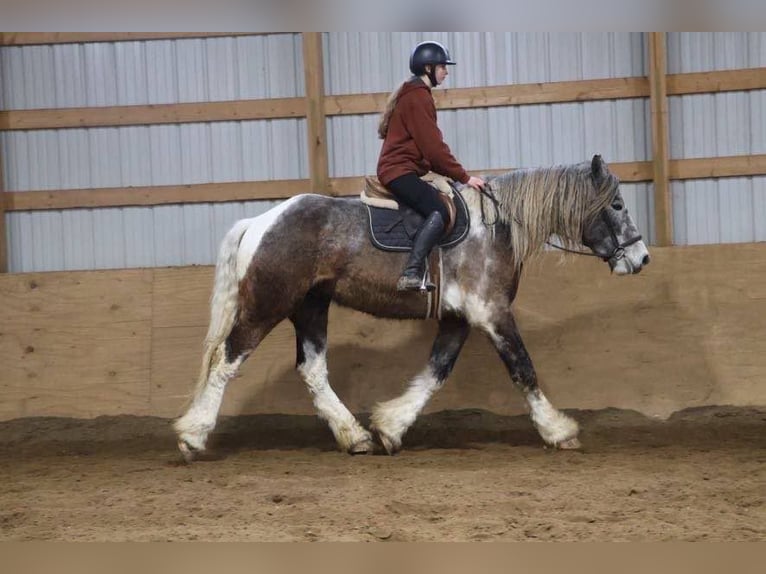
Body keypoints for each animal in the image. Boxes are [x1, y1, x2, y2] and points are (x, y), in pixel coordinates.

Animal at [173, 154, 650, 461]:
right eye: (617, 204)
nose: (642, 258)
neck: (497, 227)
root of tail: (260, 222)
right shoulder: (492, 313)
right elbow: (523, 369)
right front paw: (559, 431)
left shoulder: (460, 318)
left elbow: (436, 372)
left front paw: (390, 427)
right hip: (267, 306)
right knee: (226, 361)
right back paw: (193, 436)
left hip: (310, 307)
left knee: (312, 370)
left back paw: (355, 437)